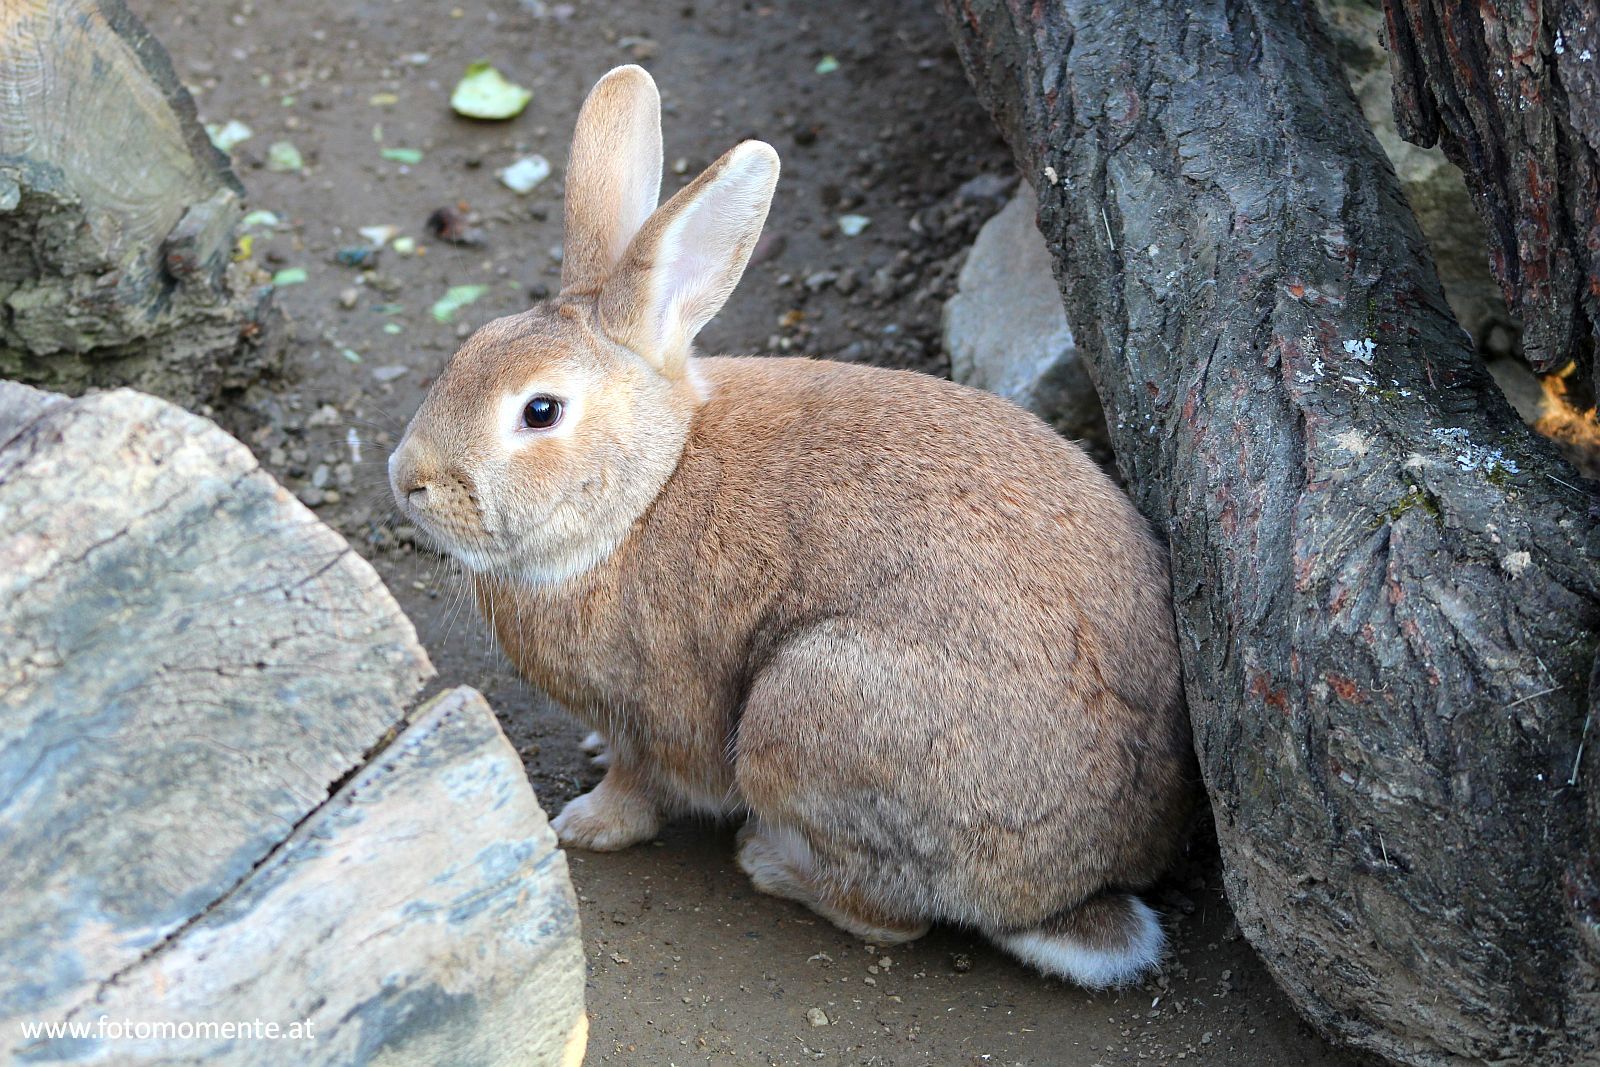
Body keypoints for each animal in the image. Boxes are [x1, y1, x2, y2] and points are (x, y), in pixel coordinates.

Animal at [390, 62, 1190, 991]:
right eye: (467, 348)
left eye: (541, 411)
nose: (406, 479)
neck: (645, 489)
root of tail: (1083, 884)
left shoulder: (649, 713)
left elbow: (638, 786)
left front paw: (584, 823)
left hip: (806, 710)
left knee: (893, 919)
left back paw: (770, 863)